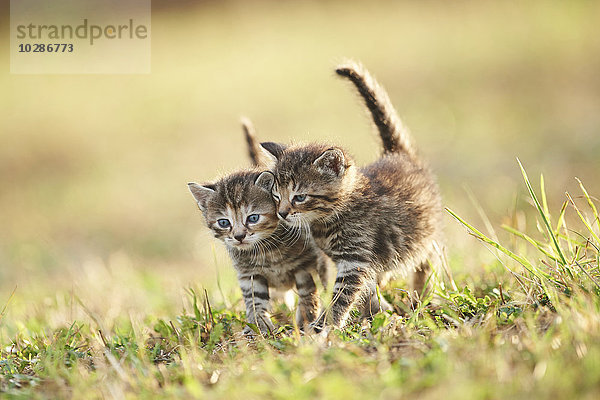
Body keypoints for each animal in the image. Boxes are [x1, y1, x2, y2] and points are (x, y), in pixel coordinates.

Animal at [188, 122, 328, 334]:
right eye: (224, 222)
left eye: (253, 218)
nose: (239, 236)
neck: (268, 250)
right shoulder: (249, 273)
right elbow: (254, 299)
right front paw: (258, 324)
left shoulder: (305, 264)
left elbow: (308, 292)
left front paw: (306, 320)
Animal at [260, 59, 442, 328]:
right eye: (276, 195)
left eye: (299, 197)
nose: (282, 213)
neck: (328, 221)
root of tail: (398, 154)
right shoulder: (351, 261)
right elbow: (365, 288)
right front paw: (374, 313)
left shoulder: (356, 259)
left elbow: (342, 297)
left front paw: (325, 327)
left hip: (426, 236)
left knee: (427, 264)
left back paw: (422, 297)